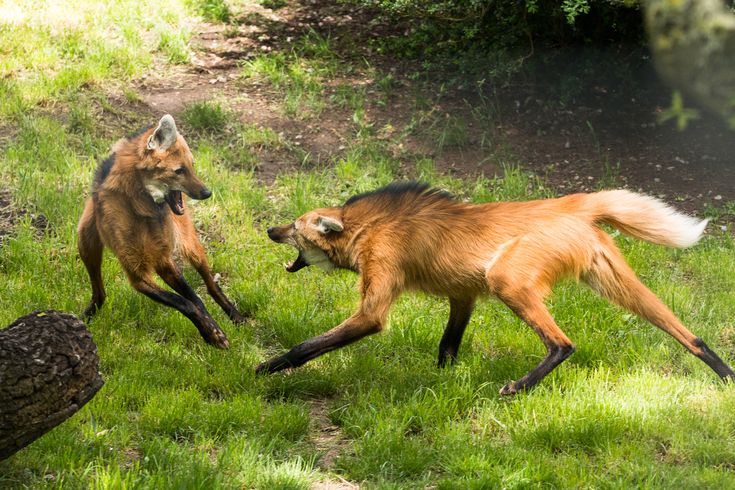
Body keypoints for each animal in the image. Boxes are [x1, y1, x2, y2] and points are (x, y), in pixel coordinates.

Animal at [77, 114, 246, 348]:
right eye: (179, 171)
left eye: (192, 167)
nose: (207, 193)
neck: (142, 207)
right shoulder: (139, 274)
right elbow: (184, 302)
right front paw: (212, 332)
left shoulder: (163, 258)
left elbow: (194, 299)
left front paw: (213, 331)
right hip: (85, 242)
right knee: (99, 292)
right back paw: (88, 315)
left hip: (189, 245)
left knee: (210, 283)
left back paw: (235, 315)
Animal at [264, 181, 735, 394]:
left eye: (294, 227)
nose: (269, 230)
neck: (365, 228)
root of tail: (573, 203)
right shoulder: (463, 296)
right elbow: (448, 345)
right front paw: (444, 386)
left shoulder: (380, 288)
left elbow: (315, 342)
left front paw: (266, 368)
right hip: (612, 277)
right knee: (686, 332)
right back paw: (726, 375)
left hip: (507, 277)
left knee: (563, 344)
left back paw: (519, 387)